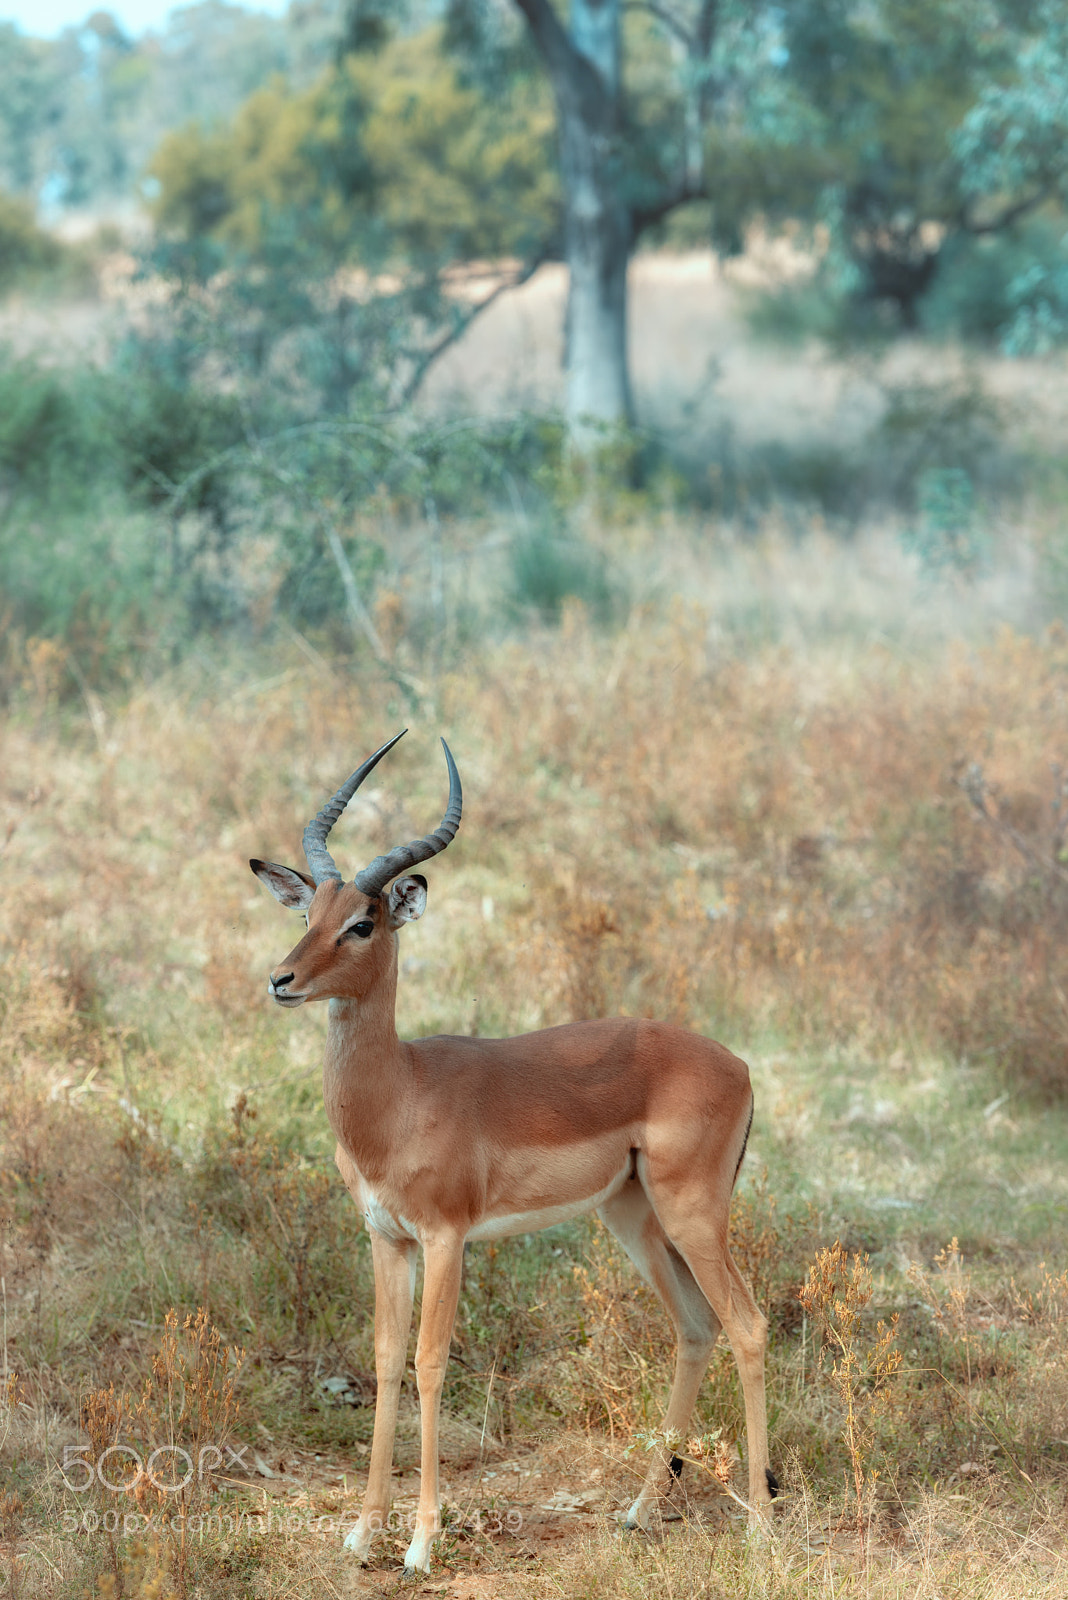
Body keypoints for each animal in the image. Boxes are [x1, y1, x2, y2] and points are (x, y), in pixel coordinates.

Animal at [251, 731, 776, 1574]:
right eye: (312, 910)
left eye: (364, 922)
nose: (282, 979)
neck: (401, 1094)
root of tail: (739, 1066)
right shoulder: (385, 1238)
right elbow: (386, 1358)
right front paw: (364, 1532)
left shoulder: (447, 1237)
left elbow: (430, 1363)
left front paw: (421, 1543)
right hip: (634, 1218)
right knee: (697, 1328)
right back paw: (636, 1513)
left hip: (693, 1215)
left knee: (749, 1326)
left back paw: (759, 1527)